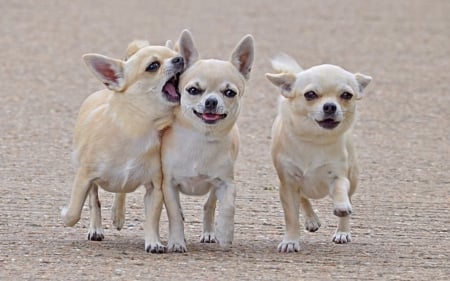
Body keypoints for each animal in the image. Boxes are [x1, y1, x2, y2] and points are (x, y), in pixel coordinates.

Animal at [59, 31, 193, 253]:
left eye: (175, 54)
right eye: (153, 66)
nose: (179, 58)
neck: (138, 129)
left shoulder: (155, 187)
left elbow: (152, 219)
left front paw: (153, 242)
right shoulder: (84, 177)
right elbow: (74, 211)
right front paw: (66, 215)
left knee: (120, 192)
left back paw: (118, 214)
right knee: (94, 200)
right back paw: (96, 228)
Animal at [161, 30, 253, 252]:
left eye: (229, 93)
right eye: (193, 90)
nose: (211, 101)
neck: (201, 138)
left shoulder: (227, 183)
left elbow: (228, 207)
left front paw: (225, 234)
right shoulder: (169, 185)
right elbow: (174, 214)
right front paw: (177, 242)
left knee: (209, 205)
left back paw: (210, 232)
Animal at [266, 52, 370, 252]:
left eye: (346, 95)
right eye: (310, 95)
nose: (330, 106)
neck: (314, 140)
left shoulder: (338, 175)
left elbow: (340, 189)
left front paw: (341, 207)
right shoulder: (288, 183)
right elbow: (292, 217)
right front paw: (290, 241)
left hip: (353, 178)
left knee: (347, 197)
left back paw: (342, 231)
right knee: (303, 197)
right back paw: (311, 219)